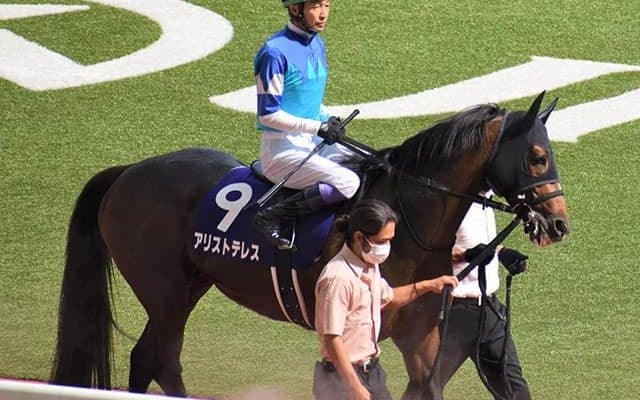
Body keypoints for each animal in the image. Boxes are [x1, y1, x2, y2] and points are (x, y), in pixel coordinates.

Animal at [50, 92, 569, 399]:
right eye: (536, 156)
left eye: (549, 153)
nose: (558, 222)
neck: (408, 220)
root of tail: (128, 172)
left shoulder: (422, 339)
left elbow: (426, 386)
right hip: (167, 294)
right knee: (163, 358)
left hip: (190, 284)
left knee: (145, 358)